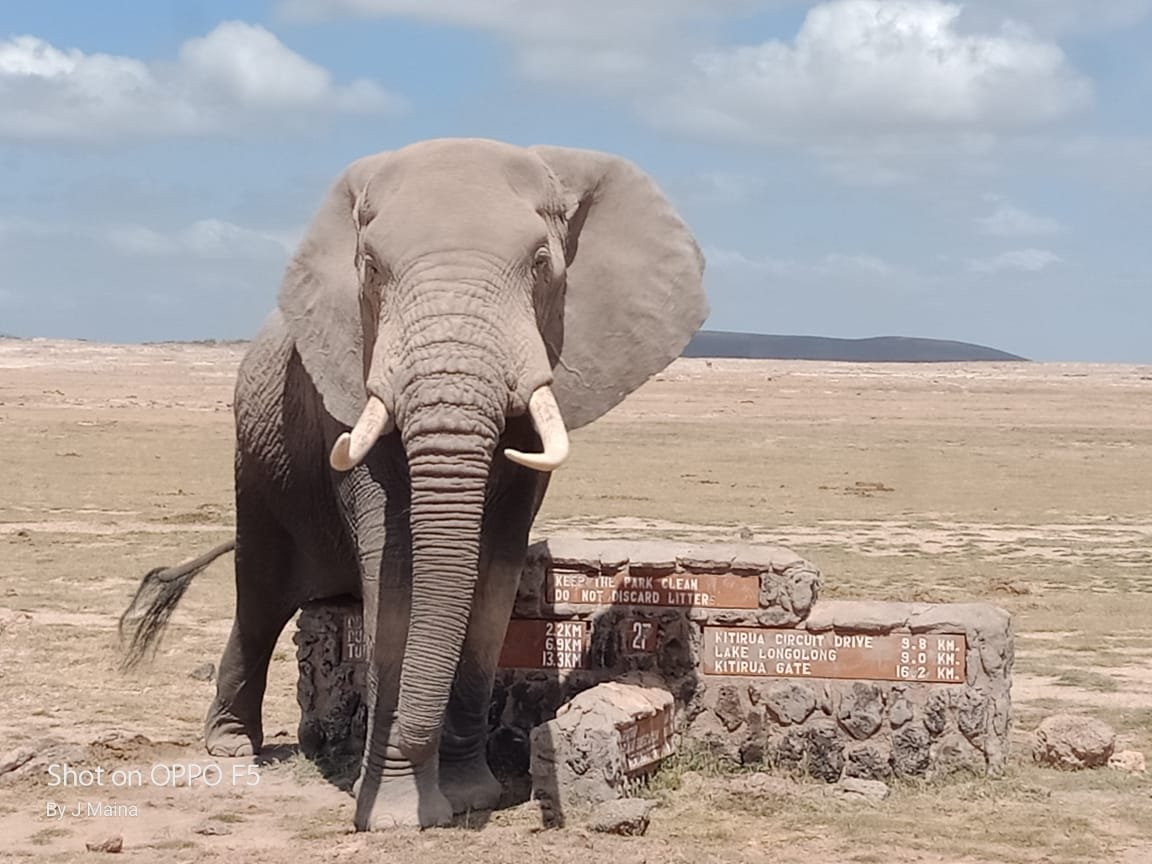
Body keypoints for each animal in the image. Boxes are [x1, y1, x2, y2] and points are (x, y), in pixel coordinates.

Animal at [118, 137, 707, 830]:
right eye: (371, 268)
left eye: (541, 264)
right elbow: (395, 571)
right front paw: (399, 816)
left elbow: (491, 577)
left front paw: (470, 797)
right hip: (254, 459)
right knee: (260, 591)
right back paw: (231, 745)